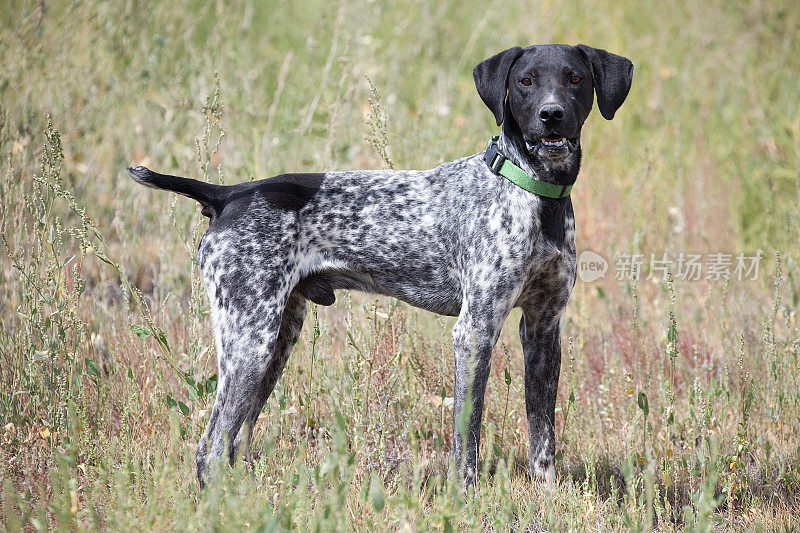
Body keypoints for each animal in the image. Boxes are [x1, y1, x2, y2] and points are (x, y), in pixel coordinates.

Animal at [128, 43, 636, 486]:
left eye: (574, 79)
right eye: (525, 82)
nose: (552, 115)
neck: (533, 191)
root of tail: (229, 193)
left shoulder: (543, 328)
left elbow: (542, 434)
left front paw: (547, 497)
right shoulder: (475, 330)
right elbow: (467, 439)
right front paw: (466, 499)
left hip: (276, 341)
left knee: (230, 442)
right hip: (249, 342)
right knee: (211, 448)